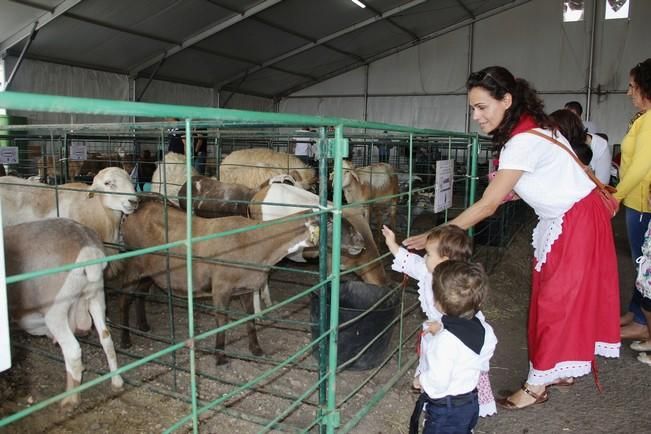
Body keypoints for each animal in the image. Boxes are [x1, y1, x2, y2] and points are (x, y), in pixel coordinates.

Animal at [5, 219, 124, 408]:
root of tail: (87, 247)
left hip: (56, 310)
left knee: (73, 351)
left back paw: (70, 400)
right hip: (96, 295)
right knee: (107, 339)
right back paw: (117, 382)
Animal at [119, 198, 320, 364]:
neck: (255, 243)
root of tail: (137, 210)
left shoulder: (245, 288)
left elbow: (250, 319)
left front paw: (256, 349)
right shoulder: (221, 287)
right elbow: (222, 320)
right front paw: (220, 356)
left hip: (152, 272)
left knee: (140, 294)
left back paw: (144, 326)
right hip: (134, 265)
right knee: (125, 299)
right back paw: (125, 340)